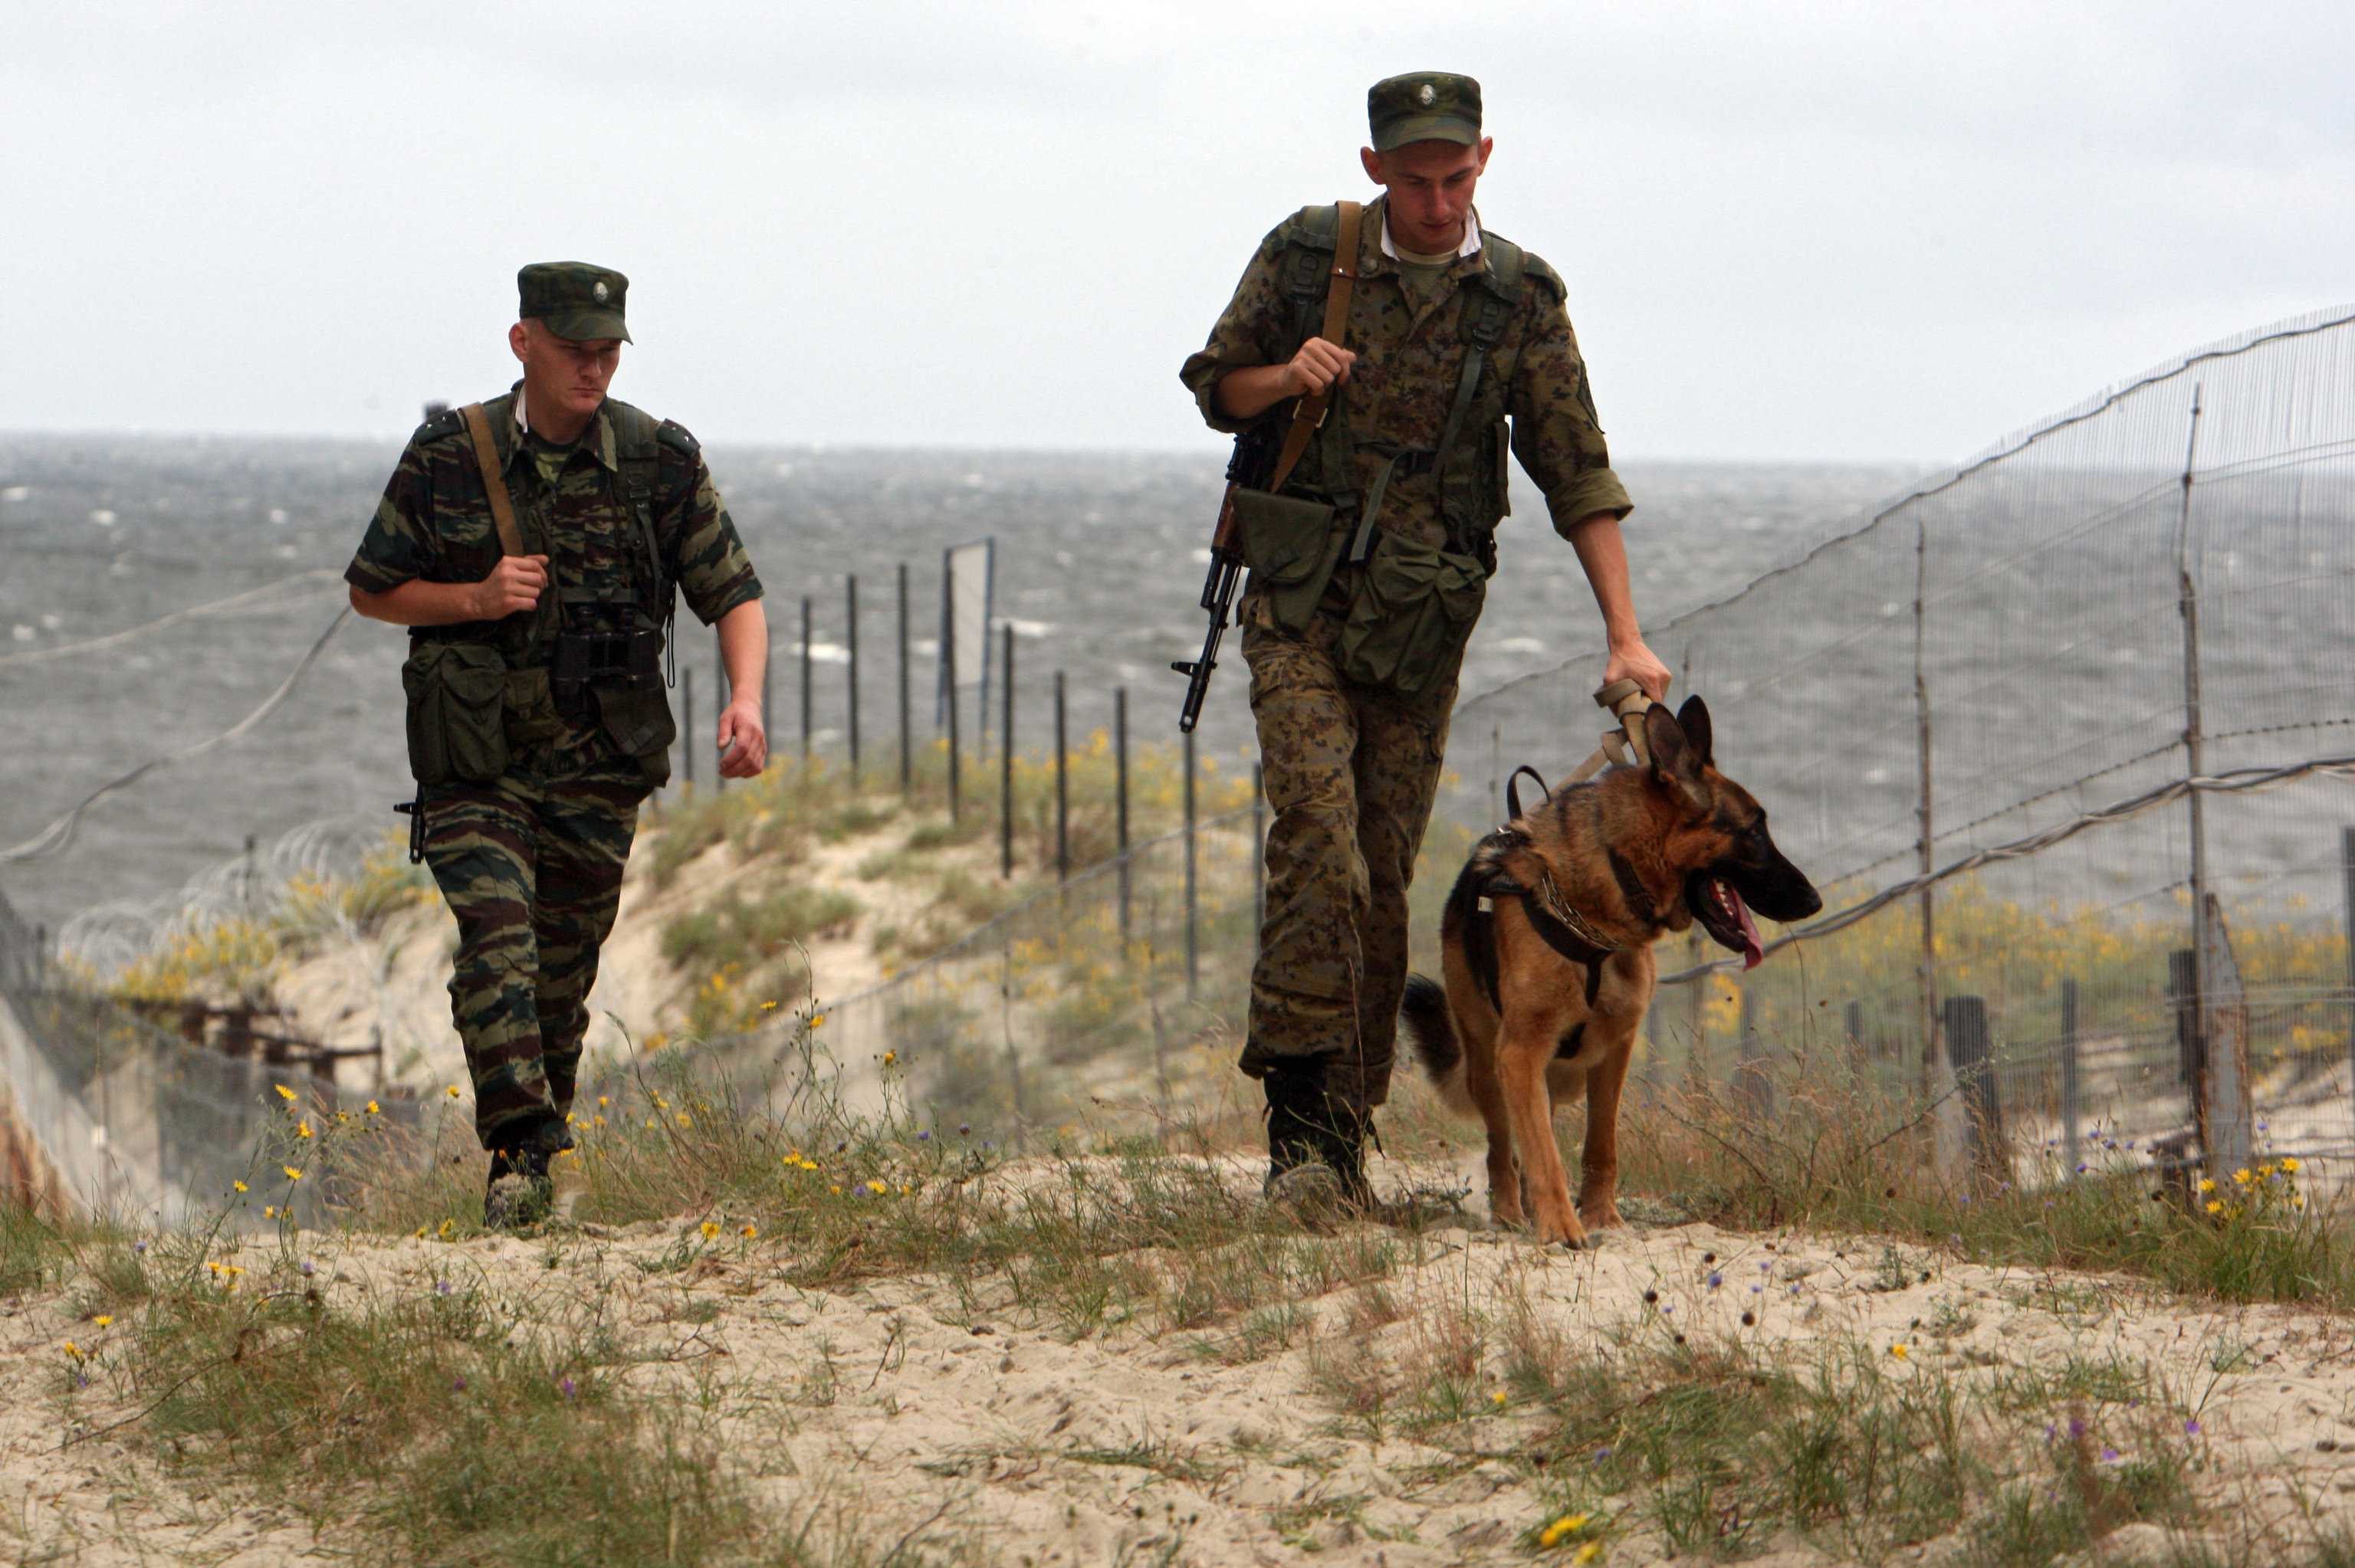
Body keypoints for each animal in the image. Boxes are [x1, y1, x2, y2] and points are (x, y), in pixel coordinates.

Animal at [1394, 697, 1818, 1243]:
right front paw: (1561, 1226)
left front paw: (1599, 1216)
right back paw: (1510, 1213)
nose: (1815, 900)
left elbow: (1600, 1144)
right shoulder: (1520, 1053)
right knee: (1501, 1149)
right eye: (1755, 831)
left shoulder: (1615, 1049)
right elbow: (1545, 1153)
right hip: (1489, 1065)